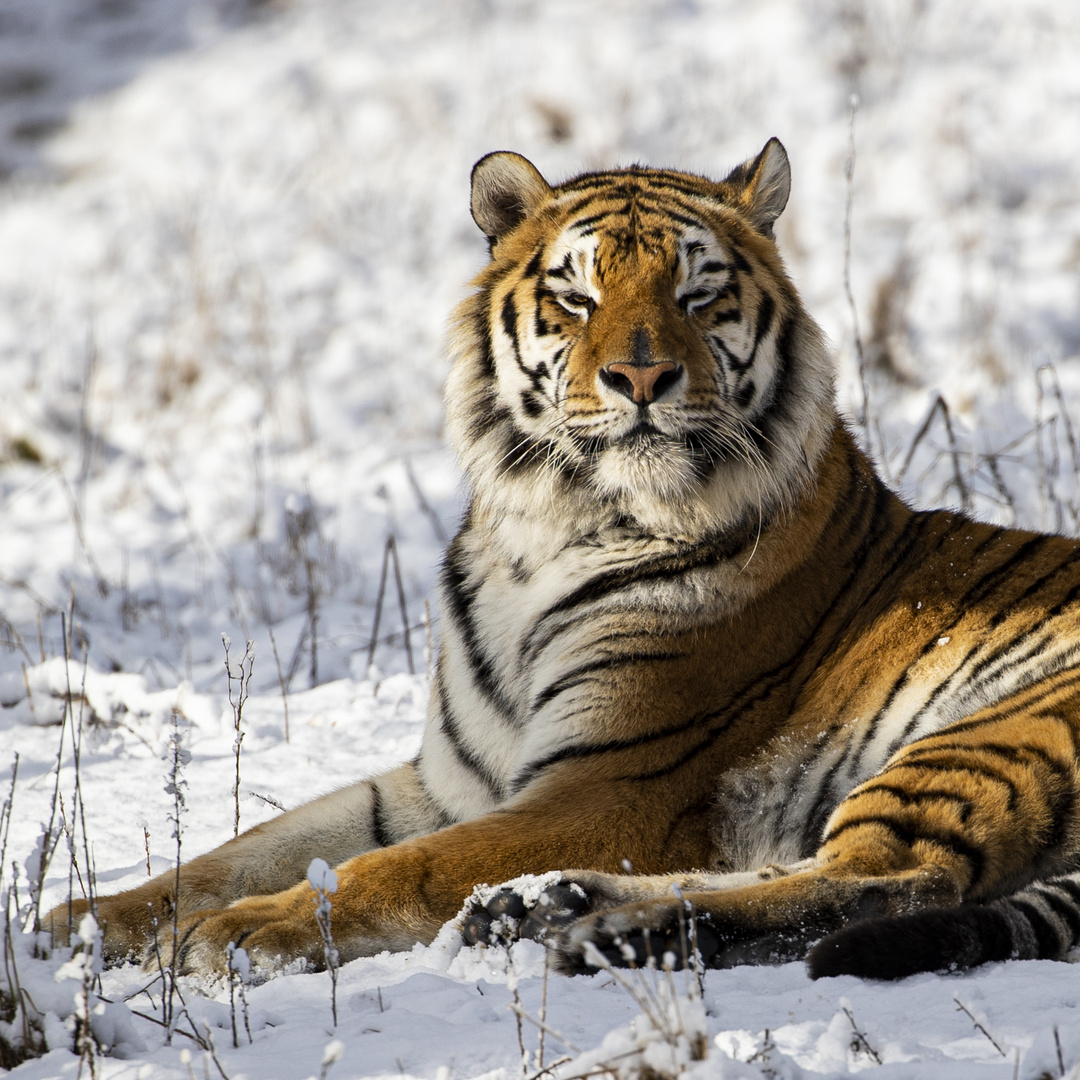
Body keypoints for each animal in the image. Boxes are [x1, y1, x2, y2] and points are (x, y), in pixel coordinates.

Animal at [46, 139, 1080, 984]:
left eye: (698, 294)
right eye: (575, 296)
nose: (641, 377)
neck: (547, 530)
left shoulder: (610, 784)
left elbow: (391, 865)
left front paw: (243, 933)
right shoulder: (451, 780)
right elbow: (250, 846)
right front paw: (84, 921)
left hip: (990, 728)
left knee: (891, 879)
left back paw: (598, 930)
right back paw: (549, 905)